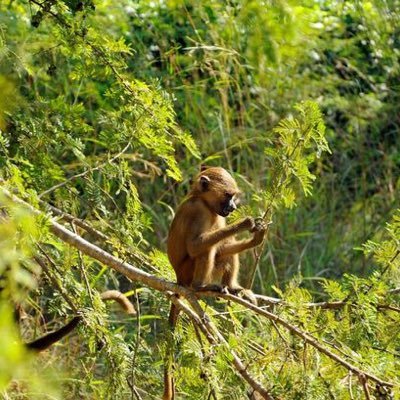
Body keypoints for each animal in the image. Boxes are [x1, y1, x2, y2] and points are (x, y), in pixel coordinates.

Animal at [162, 166, 266, 400]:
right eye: (228, 195)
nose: (233, 207)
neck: (203, 202)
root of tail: (178, 278)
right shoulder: (197, 211)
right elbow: (195, 246)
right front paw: (244, 224)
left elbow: (224, 247)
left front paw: (257, 238)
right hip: (187, 272)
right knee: (205, 250)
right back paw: (200, 287)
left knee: (223, 252)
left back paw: (235, 289)